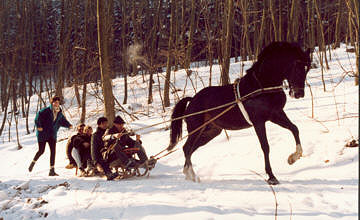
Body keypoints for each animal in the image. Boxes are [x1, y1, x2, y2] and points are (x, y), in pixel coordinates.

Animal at [167, 41, 310, 184]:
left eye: (306, 68)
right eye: (296, 65)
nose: (299, 94)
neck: (261, 86)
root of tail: (192, 100)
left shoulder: (275, 115)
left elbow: (294, 128)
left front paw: (293, 158)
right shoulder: (259, 122)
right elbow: (265, 147)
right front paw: (272, 177)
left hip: (210, 131)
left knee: (190, 149)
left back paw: (190, 176)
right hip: (196, 130)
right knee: (187, 148)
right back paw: (191, 176)